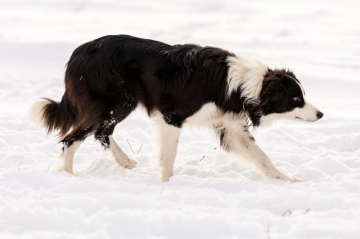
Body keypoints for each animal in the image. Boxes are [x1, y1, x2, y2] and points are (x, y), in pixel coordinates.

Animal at [28, 34, 324, 182]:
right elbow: (169, 156)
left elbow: (262, 157)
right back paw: (69, 177)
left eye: (303, 95)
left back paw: (124, 161)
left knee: (100, 133)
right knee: (74, 137)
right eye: (295, 99)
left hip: (117, 104)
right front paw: (166, 184)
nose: (321, 114)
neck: (240, 85)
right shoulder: (173, 116)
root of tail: (77, 54)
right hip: (119, 101)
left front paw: (285, 180)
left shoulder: (231, 126)